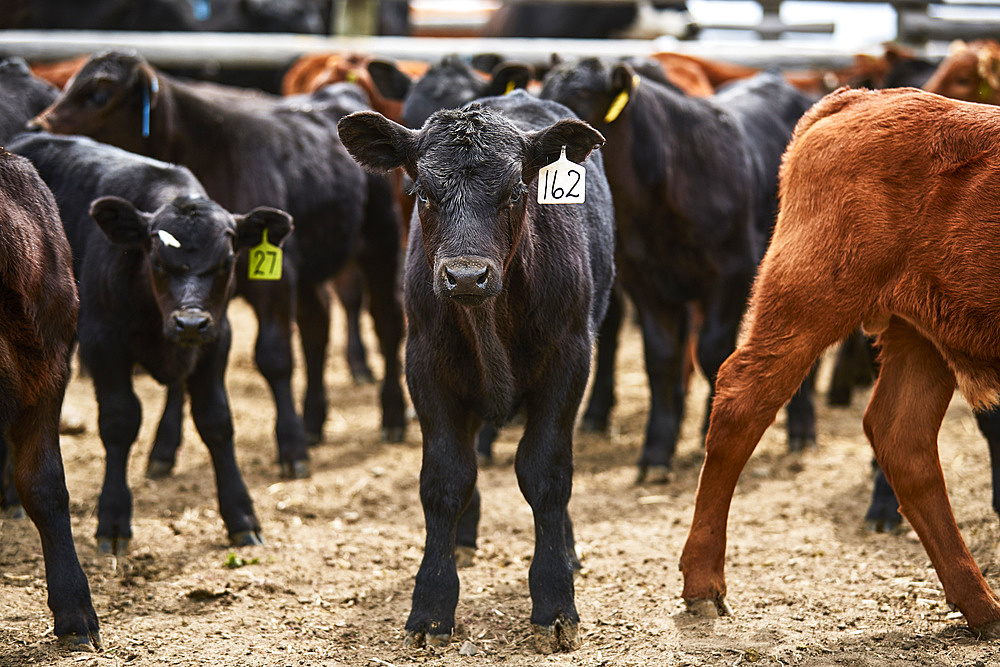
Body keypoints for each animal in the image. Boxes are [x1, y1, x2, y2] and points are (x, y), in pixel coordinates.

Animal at [11, 130, 292, 552]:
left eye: (227, 261)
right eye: (157, 261)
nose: (190, 322)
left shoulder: (217, 338)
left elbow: (216, 420)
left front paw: (240, 515)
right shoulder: (102, 343)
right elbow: (120, 421)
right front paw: (113, 518)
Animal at [340, 91, 612, 656]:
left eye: (516, 192)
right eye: (422, 192)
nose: (466, 275)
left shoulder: (570, 361)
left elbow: (547, 473)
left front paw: (556, 601)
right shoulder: (424, 366)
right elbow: (446, 479)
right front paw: (431, 605)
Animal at [544, 58, 816, 480]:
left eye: (583, 96)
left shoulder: (730, 273)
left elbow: (713, 353)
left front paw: (712, 435)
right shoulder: (645, 281)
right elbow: (661, 359)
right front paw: (657, 452)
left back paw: (802, 431)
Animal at [680, 86, 1000, 640]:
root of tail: (858, 99)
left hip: (920, 335)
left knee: (902, 435)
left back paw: (983, 608)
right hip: (809, 304)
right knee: (741, 401)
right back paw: (703, 586)